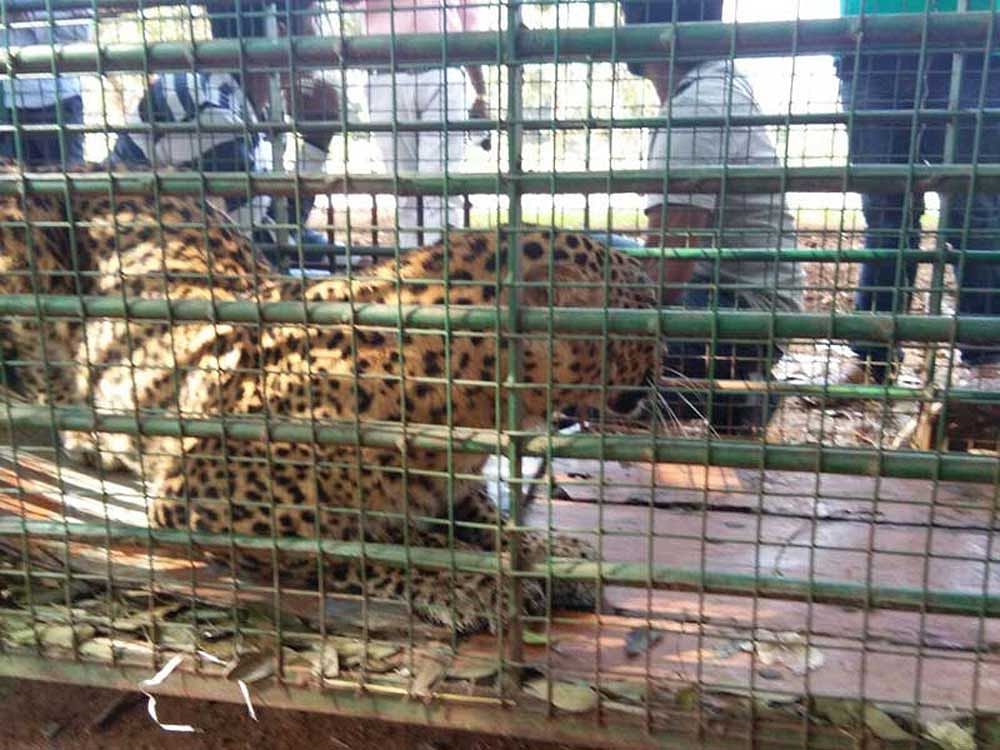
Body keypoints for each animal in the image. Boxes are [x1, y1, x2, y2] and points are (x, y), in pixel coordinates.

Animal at [0, 184, 660, 636]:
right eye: (644, 302)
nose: (668, 352)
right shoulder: (209, 497)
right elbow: (370, 541)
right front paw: (468, 579)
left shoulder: (449, 487)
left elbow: (487, 518)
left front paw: (550, 555)